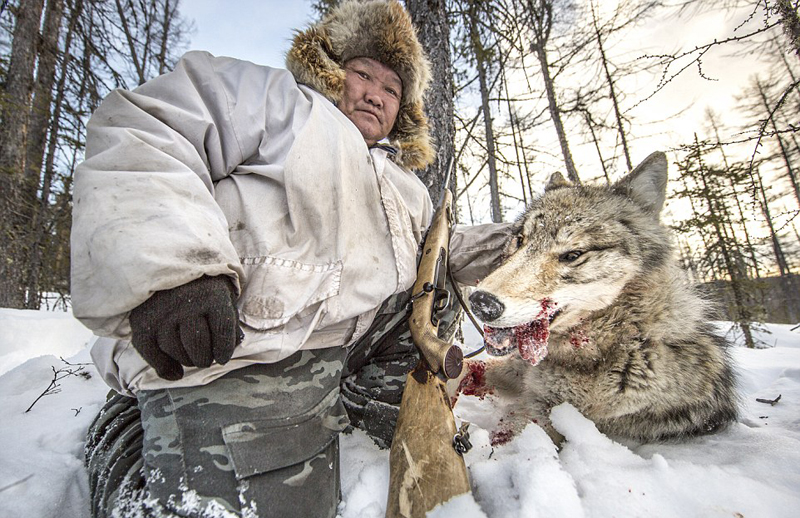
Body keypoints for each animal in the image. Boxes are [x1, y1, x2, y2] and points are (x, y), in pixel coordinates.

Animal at [460, 151, 740, 446]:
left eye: (573, 254)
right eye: (520, 240)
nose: (481, 303)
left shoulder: (549, 416)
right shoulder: (518, 372)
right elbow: (471, 368)